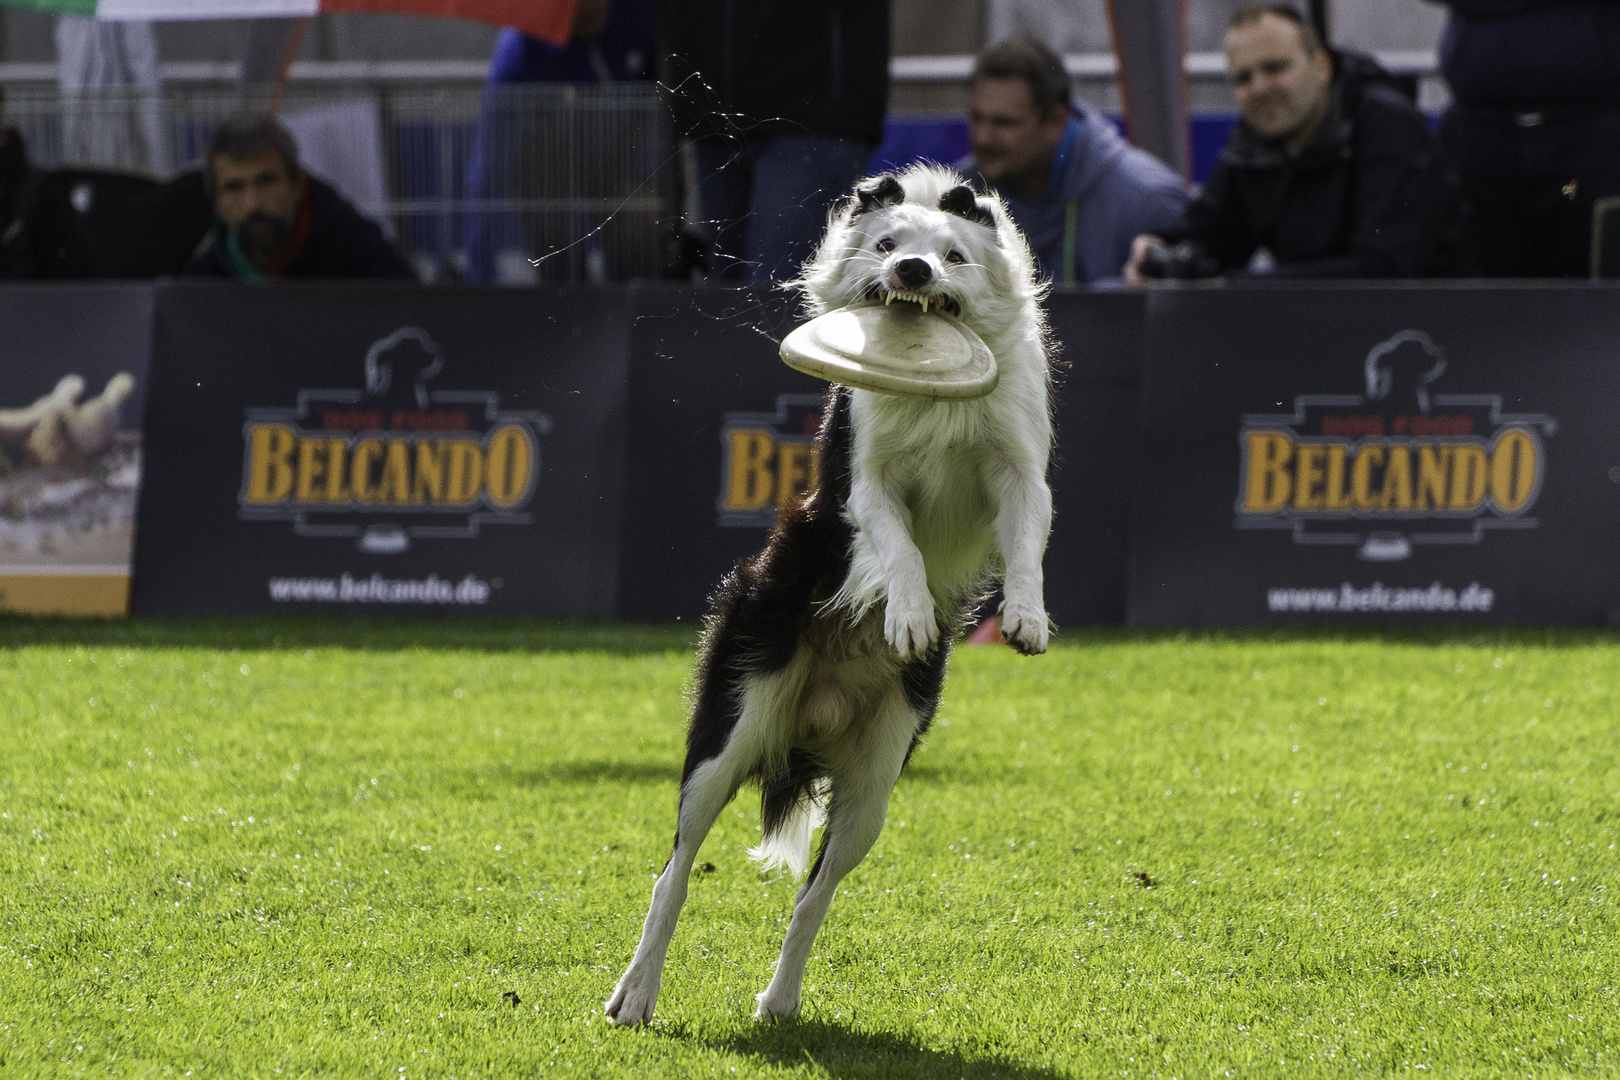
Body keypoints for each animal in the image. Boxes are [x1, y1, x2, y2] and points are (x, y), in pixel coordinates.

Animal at [605, 165, 1049, 1029]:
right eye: (886, 244)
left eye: (954, 254)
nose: (913, 271)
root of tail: (818, 707)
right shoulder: (865, 479)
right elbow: (899, 543)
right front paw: (908, 613)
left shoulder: (1018, 468)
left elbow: (1027, 542)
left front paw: (1025, 615)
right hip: (732, 722)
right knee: (675, 870)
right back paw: (635, 993)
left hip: (874, 787)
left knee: (814, 895)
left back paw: (779, 1001)